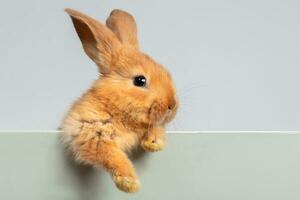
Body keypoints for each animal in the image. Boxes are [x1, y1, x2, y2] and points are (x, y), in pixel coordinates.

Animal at [61, 8, 178, 193]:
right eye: (140, 81)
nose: (172, 105)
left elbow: (156, 127)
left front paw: (153, 143)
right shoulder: (90, 132)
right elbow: (113, 156)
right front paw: (129, 184)